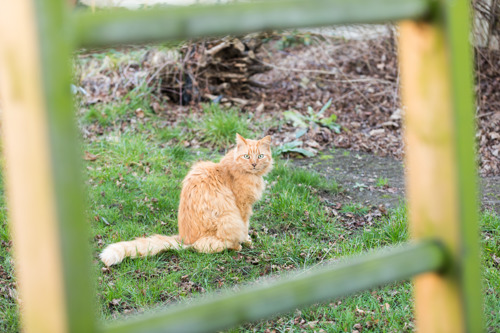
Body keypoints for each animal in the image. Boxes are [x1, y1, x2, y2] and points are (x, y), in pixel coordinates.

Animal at [100, 134, 274, 266]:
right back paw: (237, 246)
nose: (254, 164)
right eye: (246, 156)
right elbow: (245, 227)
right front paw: (247, 241)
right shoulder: (243, 207)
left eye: (260, 156)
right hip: (228, 220)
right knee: (208, 247)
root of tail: (185, 240)